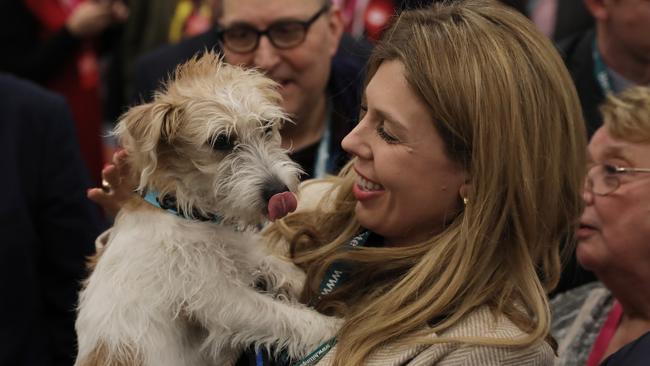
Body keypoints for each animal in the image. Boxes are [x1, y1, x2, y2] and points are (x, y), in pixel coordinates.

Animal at [74, 52, 340, 366]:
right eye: (221, 141)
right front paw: (334, 326)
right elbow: (283, 317)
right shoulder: (220, 298)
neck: (186, 213)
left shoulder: (237, 253)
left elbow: (273, 262)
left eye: (266, 127)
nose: (280, 193)